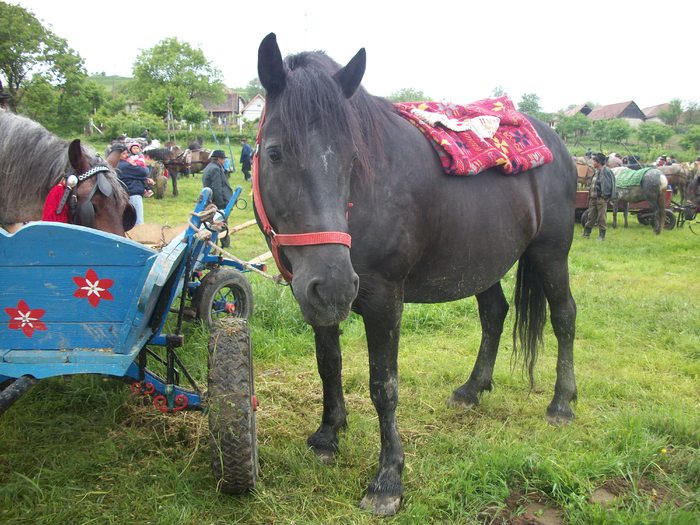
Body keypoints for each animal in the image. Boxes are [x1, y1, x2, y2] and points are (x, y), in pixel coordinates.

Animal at [254, 33, 576, 516]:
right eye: (274, 153)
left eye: (353, 159)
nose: (335, 283)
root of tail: (557, 142)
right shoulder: (314, 296)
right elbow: (328, 364)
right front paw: (328, 436)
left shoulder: (384, 299)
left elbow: (383, 386)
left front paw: (388, 479)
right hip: (480, 262)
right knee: (494, 314)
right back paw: (471, 389)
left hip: (550, 254)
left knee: (564, 317)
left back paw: (561, 403)